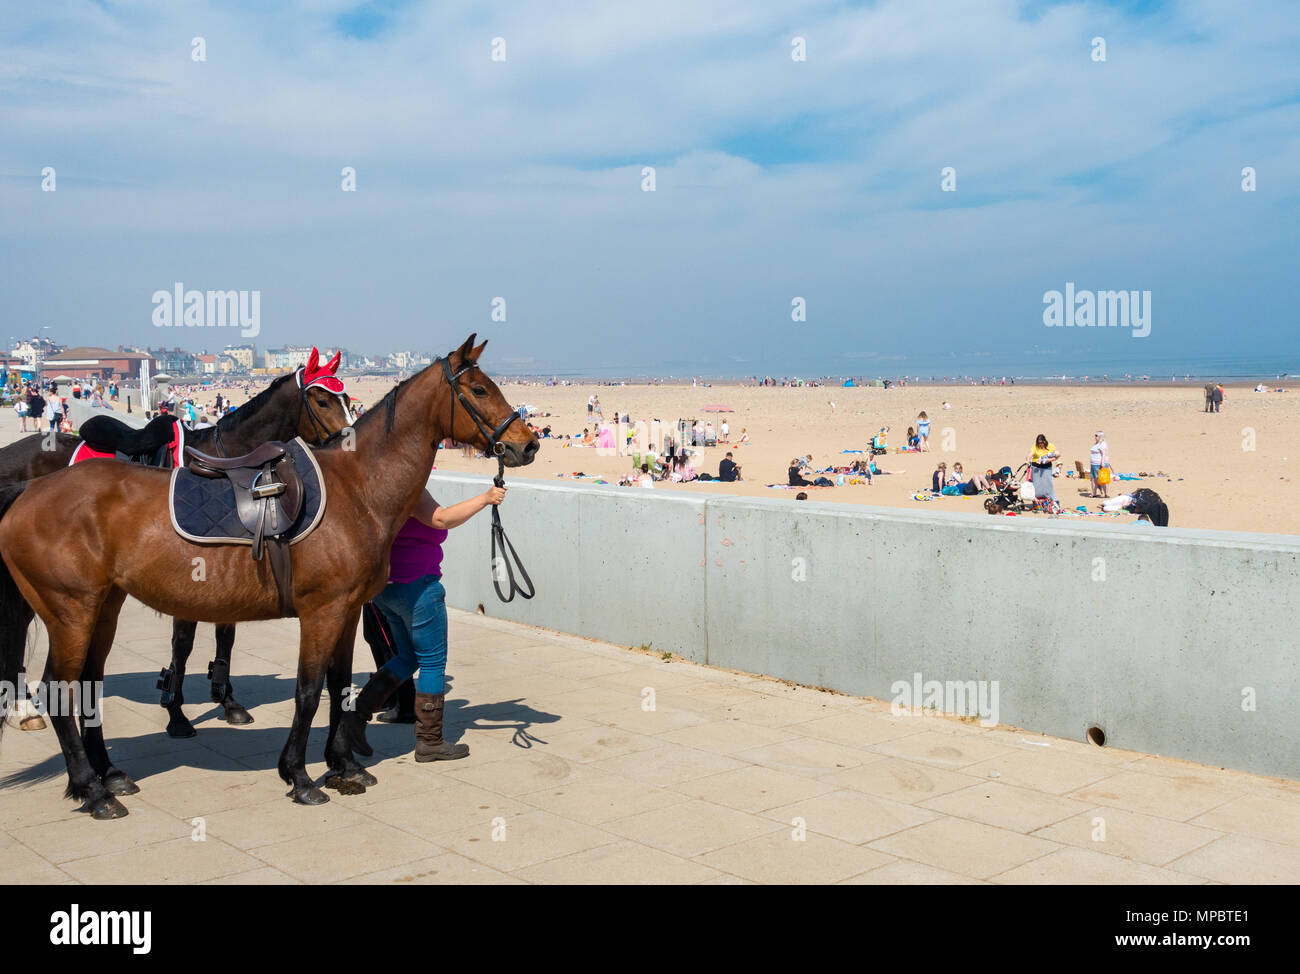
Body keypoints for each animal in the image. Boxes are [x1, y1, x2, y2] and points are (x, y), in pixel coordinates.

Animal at [0, 356, 353, 738]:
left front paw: (226, 698)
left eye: (347, 398)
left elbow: (226, 634)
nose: (348, 442)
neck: (228, 464)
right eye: (322, 401)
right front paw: (176, 710)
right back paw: (22, 707)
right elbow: (183, 643)